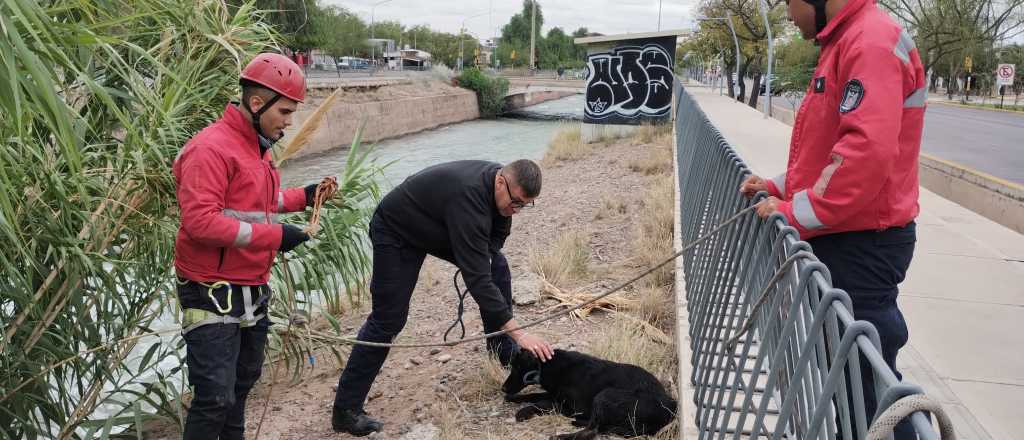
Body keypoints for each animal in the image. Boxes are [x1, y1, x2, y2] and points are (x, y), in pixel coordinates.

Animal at [499, 347, 675, 437]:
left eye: (517, 367)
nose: (503, 388)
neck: (547, 366)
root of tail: (670, 411)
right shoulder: (555, 394)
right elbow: (535, 395)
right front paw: (514, 398)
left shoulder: (572, 407)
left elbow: (541, 403)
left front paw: (523, 412)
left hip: (605, 395)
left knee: (592, 430)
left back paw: (560, 436)